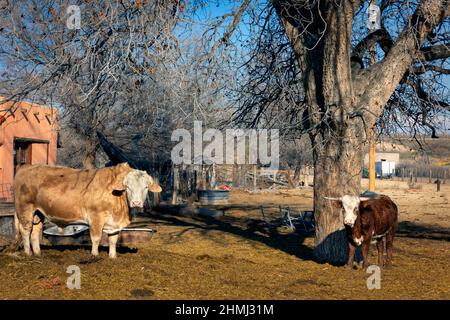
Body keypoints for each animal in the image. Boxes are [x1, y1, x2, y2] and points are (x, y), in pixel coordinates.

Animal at [13, 164, 163, 258]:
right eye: (127, 186)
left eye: (146, 187)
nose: (136, 203)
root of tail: (25, 167)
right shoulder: (95, 217)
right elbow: (96, 238)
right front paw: (95, 255)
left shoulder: (113, 223)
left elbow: (113, 240)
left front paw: (113, 256)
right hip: (25, 209)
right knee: (26, 230)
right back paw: (28, 253)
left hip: (38, 213)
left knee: (35, 232)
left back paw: (38, 253)